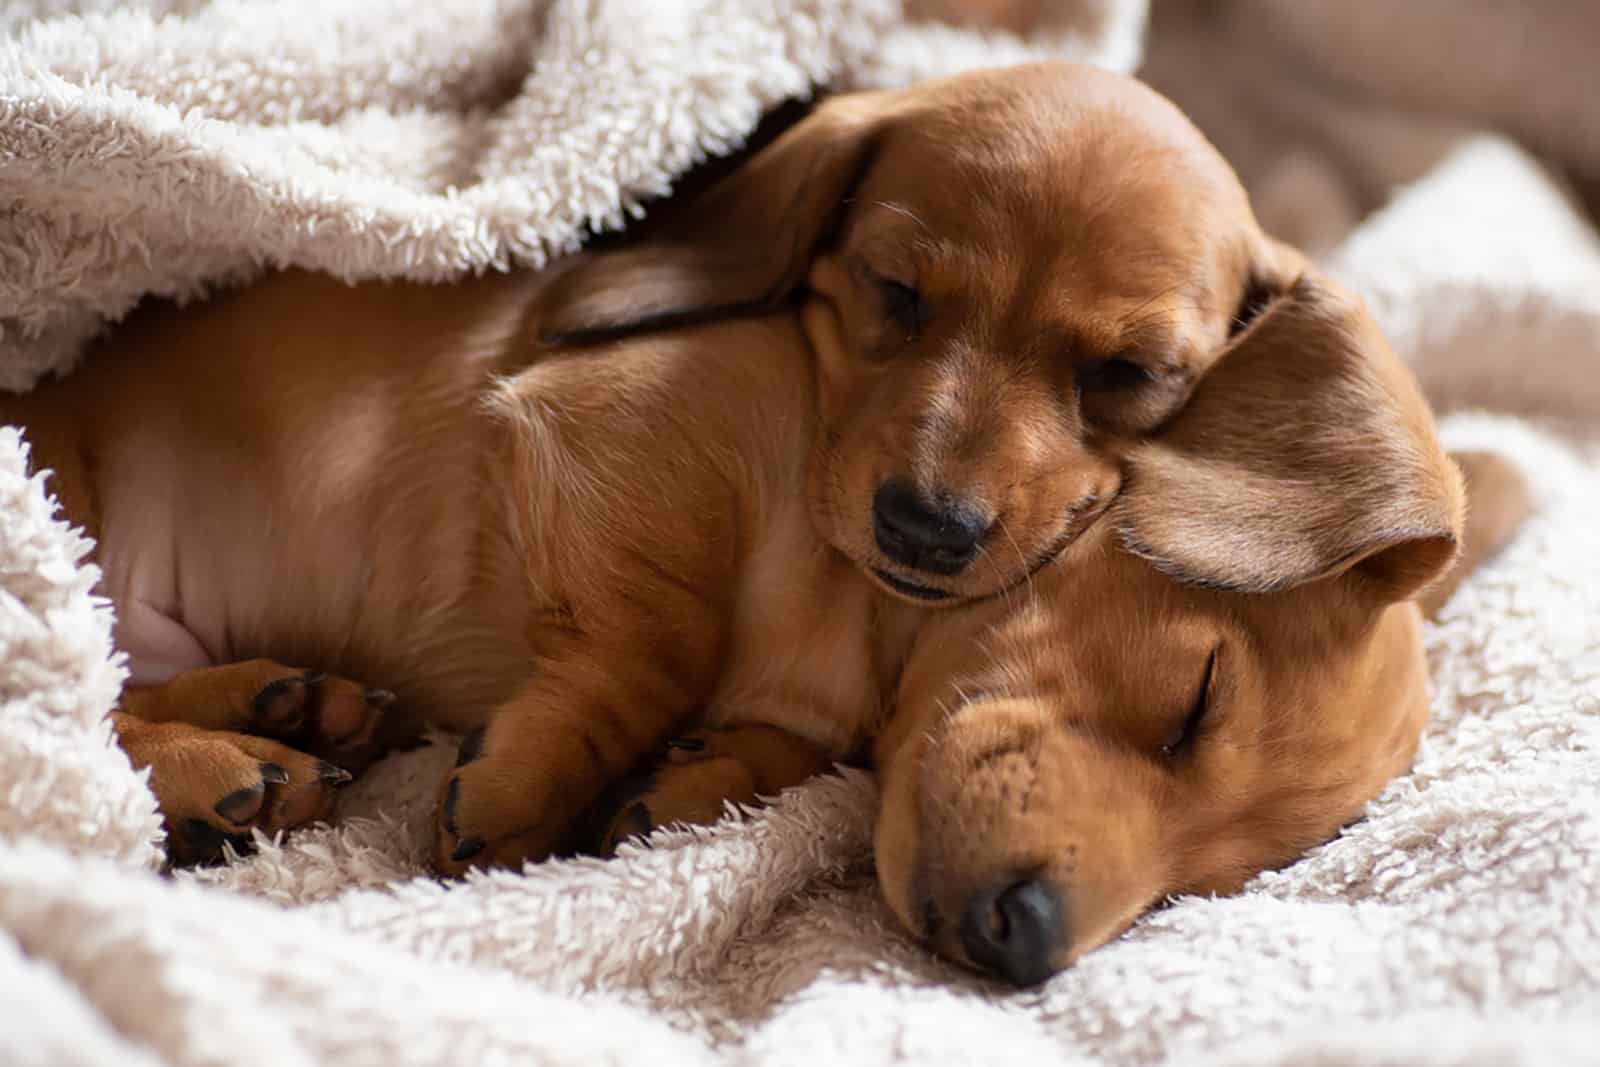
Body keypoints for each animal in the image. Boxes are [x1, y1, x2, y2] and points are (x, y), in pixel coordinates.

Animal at [0, 62, 1286, 870]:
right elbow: (661, 650)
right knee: (70, 726)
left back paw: (278, 714)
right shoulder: (601, 430)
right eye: (896, 290)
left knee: (112, 701)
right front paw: (532, 781)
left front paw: (696, 780)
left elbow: (775, 745)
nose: (927, 528)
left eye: (1124, 373)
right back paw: (227, 763)